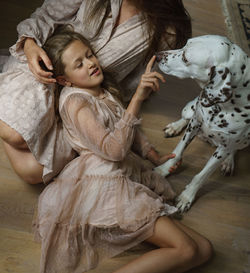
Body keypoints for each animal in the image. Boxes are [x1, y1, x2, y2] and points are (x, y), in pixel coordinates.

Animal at [154, 34, 250, 212]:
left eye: (185, 58)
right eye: (184, 44)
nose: (157, 55)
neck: (222, 108)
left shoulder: (224, 148)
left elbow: (202, 176)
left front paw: (187, 197)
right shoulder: (194, 124)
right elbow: (177, 151)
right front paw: (163, 170)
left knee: (234, 150)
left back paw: (229, 162)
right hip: (189, 109)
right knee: (185, 118)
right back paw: (174, 127)